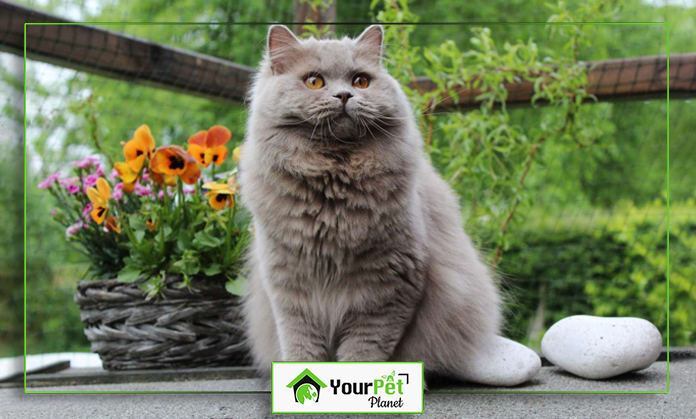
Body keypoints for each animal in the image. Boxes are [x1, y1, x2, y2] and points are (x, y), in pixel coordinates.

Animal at [239, 24, 500, 386]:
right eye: (314, 82)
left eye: (361, 81)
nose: (344, 96)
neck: (333, 191)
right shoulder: (290, 289)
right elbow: (301, 347)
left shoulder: (387, 288)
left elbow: (363, 351)